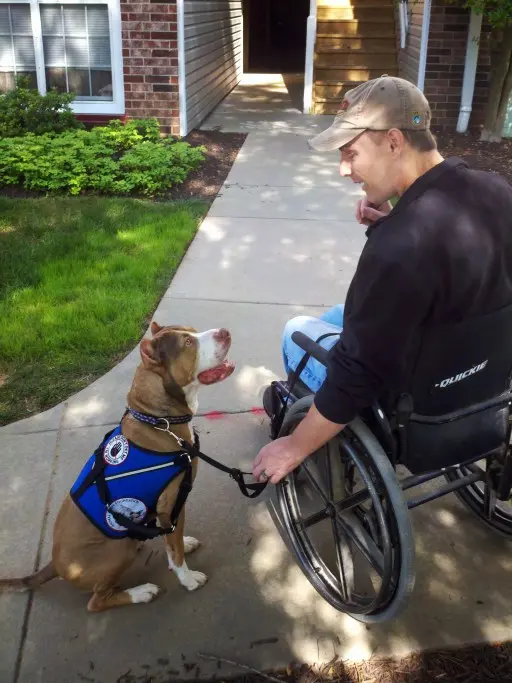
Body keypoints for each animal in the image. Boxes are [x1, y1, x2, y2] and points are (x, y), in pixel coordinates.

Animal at [0, 324, 235, 612]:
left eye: (192, 330)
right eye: (188, 343)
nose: (225, 331)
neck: (159, 421)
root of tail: (55, 564)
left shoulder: (165, 511)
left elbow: (173, 542)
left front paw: (183, 544)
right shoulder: (169, 504)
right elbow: (175, 550)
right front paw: (188, 579)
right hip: (117, 550)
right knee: (97, 601)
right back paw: (140, 592)